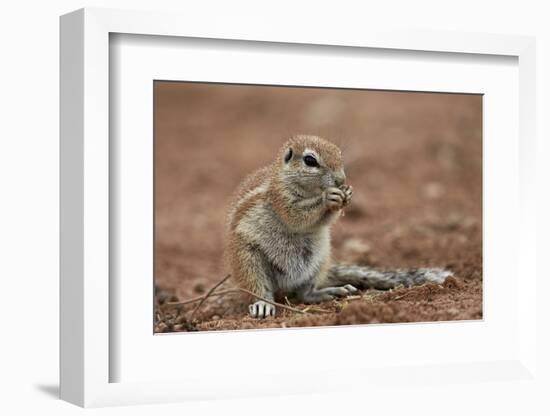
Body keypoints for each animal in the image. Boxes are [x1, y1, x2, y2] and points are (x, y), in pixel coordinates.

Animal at [224, 135, 452, 316]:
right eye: (310, 160)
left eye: (339, 153)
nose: (341, 179)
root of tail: (284, 286)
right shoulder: (280, 197)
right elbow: (296, 216)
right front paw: (328, 197)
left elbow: (324, 220)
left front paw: (347, 194)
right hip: (248, 261)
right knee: (259, 288)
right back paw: (262, 304)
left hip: (318, 260)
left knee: (304, 294)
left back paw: (327, 292)